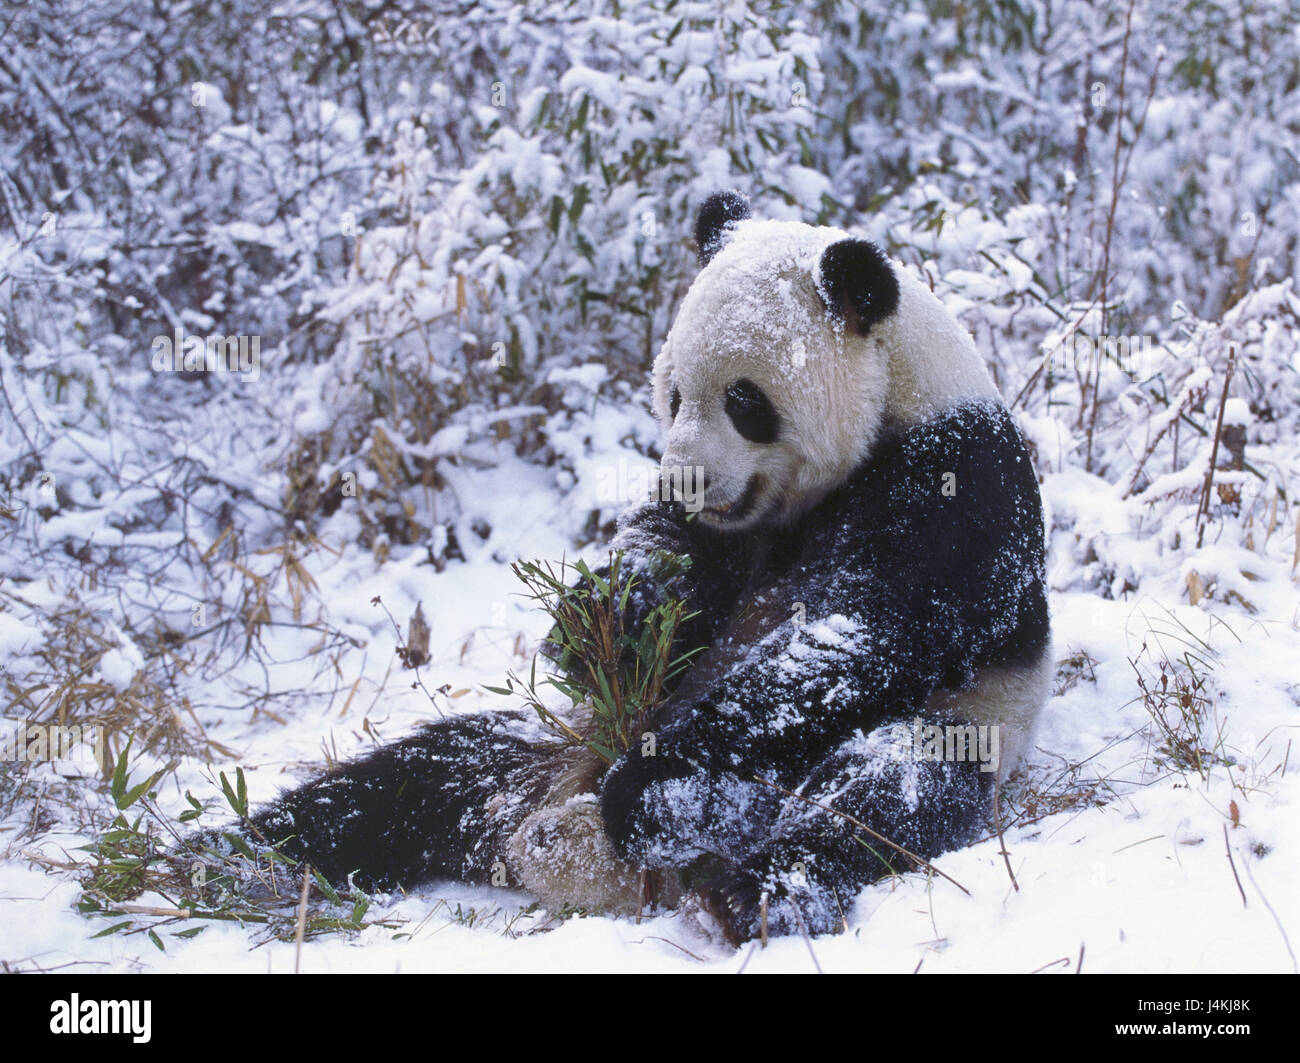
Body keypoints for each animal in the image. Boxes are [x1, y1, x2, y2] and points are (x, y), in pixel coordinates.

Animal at [205, 192, 1055, 946]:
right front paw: (602, 620)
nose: (686, 478)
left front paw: (661, 777)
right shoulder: (729, 528)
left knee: (882, 789)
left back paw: (735, 876)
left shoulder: (955, 478)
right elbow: (674, 569)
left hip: (968, 722)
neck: (900, 391)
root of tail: (546, 818)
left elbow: (859, 628)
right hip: (534, 745)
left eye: (745, 400)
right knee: (405, 781)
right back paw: (231, 854)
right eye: (672, 392)